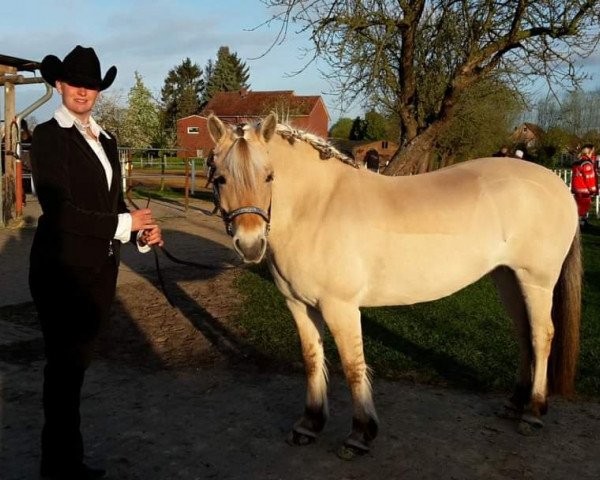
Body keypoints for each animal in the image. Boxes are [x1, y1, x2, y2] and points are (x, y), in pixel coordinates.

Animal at [206, 113, 580, 458]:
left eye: (269, 176)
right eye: (220, 178)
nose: (250, 245)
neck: (318, 206)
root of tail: (559, 186)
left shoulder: (340, 307)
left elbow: (353, 365)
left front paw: (360, 434)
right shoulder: (298, 305)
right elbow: (312, 359)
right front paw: (309, 425)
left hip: (536, 281)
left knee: (542, 336)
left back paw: (533, 412)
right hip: (507, 278)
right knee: (524, 336)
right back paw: (515, 403)